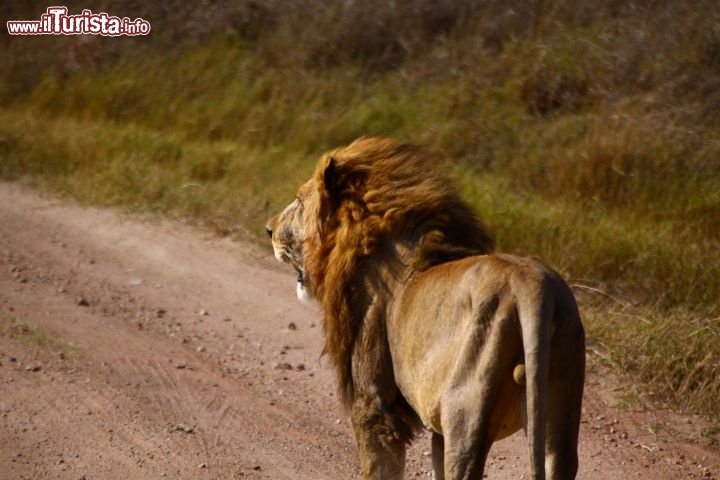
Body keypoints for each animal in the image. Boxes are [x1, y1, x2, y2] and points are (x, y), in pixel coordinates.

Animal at [264, 136, 584, 480]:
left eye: (299, 201)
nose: (268, 229)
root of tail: (533, 286)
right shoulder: (435, 424)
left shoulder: (374, 404)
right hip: (559, 415)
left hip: (465, 411)